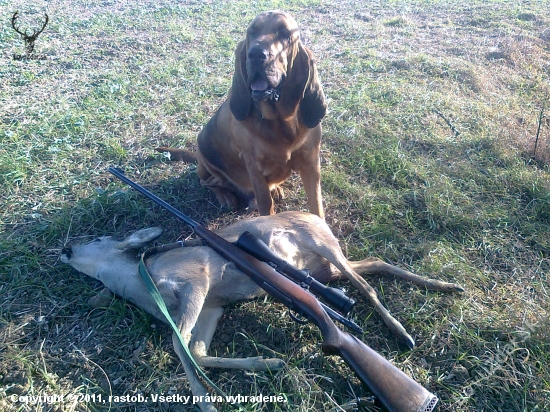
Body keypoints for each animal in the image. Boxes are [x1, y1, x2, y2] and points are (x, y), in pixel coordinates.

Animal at [61, 212, 466, 412]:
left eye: (98, 239)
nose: (66, 248)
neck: (142, 283)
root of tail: (315, 214)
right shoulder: (212, 307)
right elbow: (197, 349)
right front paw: (268, 363)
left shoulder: (196, 278)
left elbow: (179, 344)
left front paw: (205, 402)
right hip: (324, 269)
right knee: (372, 264)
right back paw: (448, 287)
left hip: (323, 245)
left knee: (363, 286)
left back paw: (403, 332)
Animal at [157, 10, 328, 216]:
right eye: (251, 32)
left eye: (285, 34)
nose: (256, 54)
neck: (280, 121)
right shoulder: (255, 167)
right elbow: (265, 203)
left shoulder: (311, 164)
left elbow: (317, 206)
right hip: (208, 164)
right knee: (209, 182)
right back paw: (225, 196)